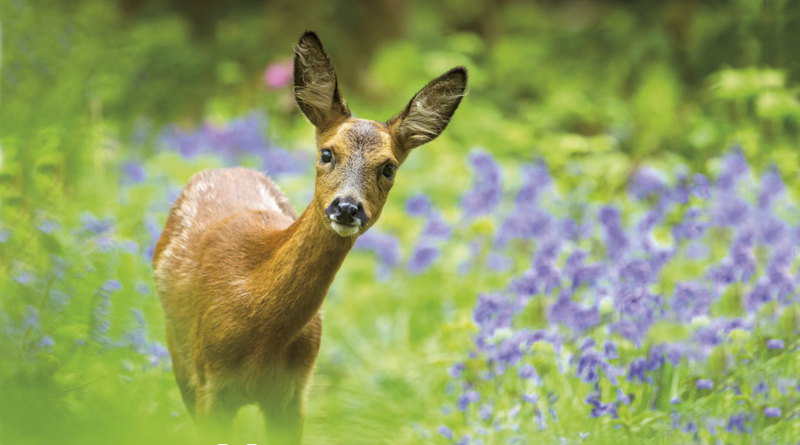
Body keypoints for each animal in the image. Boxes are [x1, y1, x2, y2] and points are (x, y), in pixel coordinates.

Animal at [153, 29, 466, 442]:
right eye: (327, 153)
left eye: (389, 168)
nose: (347, 207)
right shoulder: (211, 384)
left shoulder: (293, 393)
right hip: (180, 355)